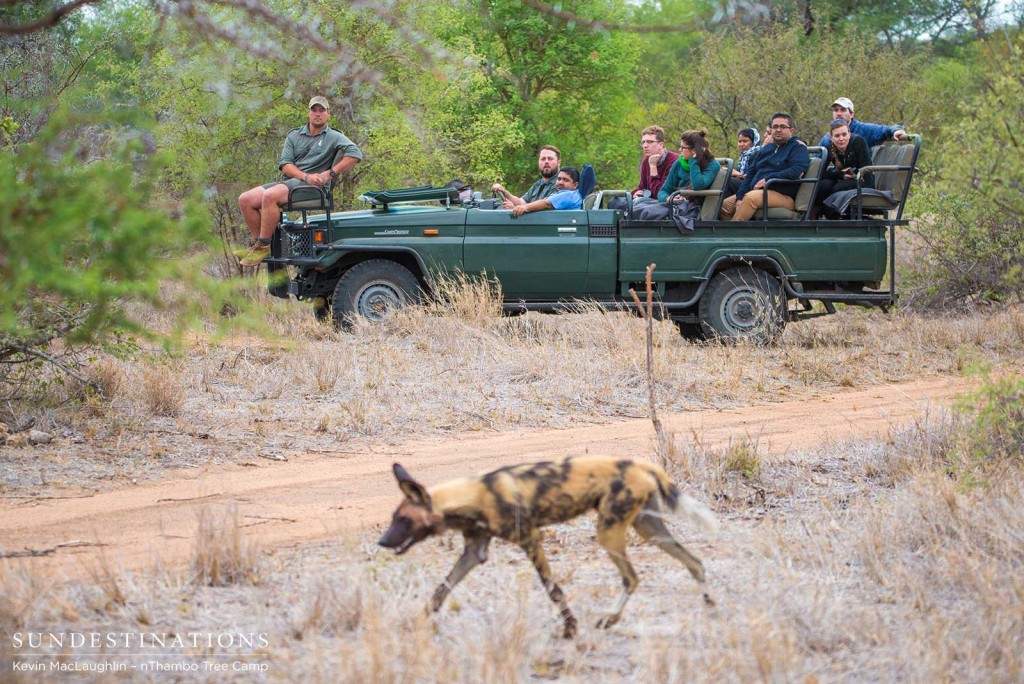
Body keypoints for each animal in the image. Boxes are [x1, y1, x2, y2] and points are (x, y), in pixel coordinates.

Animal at [378, 456, 720, 638]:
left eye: (404, 520)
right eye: (393, 518)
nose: (382, 541)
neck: (472, 497)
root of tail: (640, 463)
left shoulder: (530, 540)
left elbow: (553, 590)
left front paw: (570, 629)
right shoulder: (474, 552)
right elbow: (440, 591)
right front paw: (414, 624)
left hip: (608, 532)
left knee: (632, 577)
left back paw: (608, 620)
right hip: (649, 530)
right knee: (695, 562)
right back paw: (710, 608)